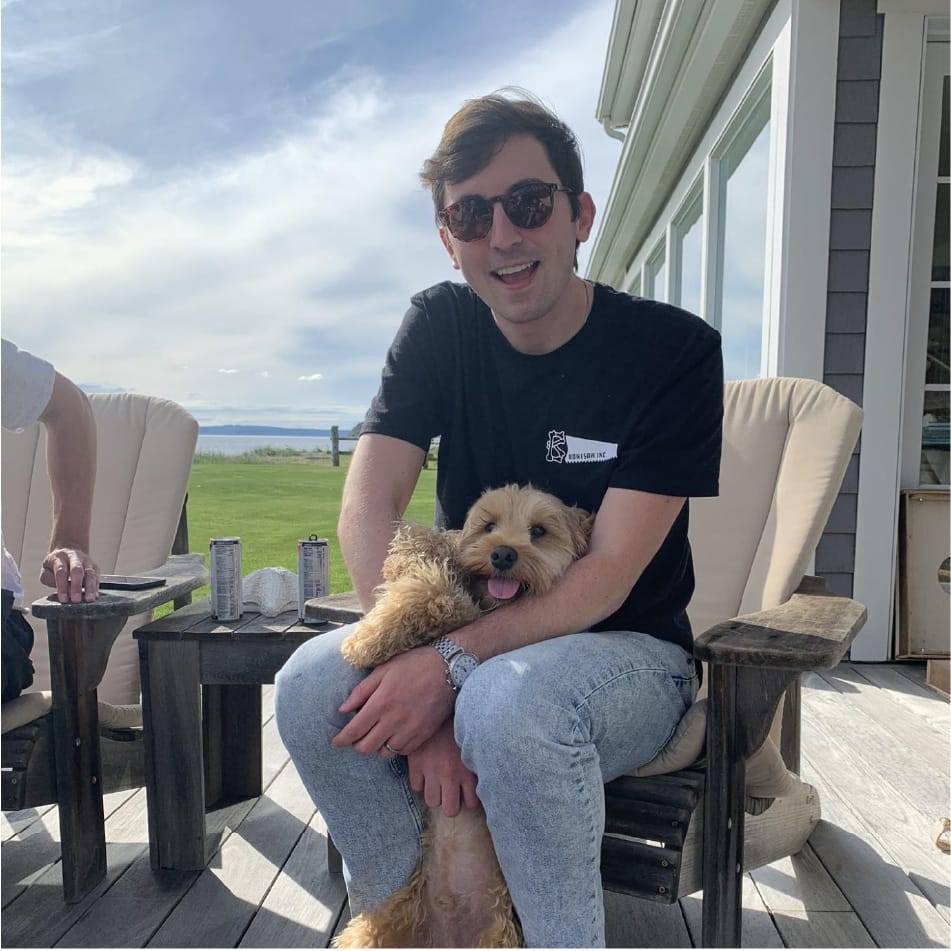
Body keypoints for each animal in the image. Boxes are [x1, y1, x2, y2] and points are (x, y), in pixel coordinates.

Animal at [332, 488, 588, 948]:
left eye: (539, 531)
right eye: (488, 525)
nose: (502, 553)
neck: (490, 605)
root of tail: (444, 934)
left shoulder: (463, 614)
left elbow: (439, 595)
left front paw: (367, 639)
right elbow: (431, 565)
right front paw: (416, 550)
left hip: (498, 935)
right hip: (378, 928)